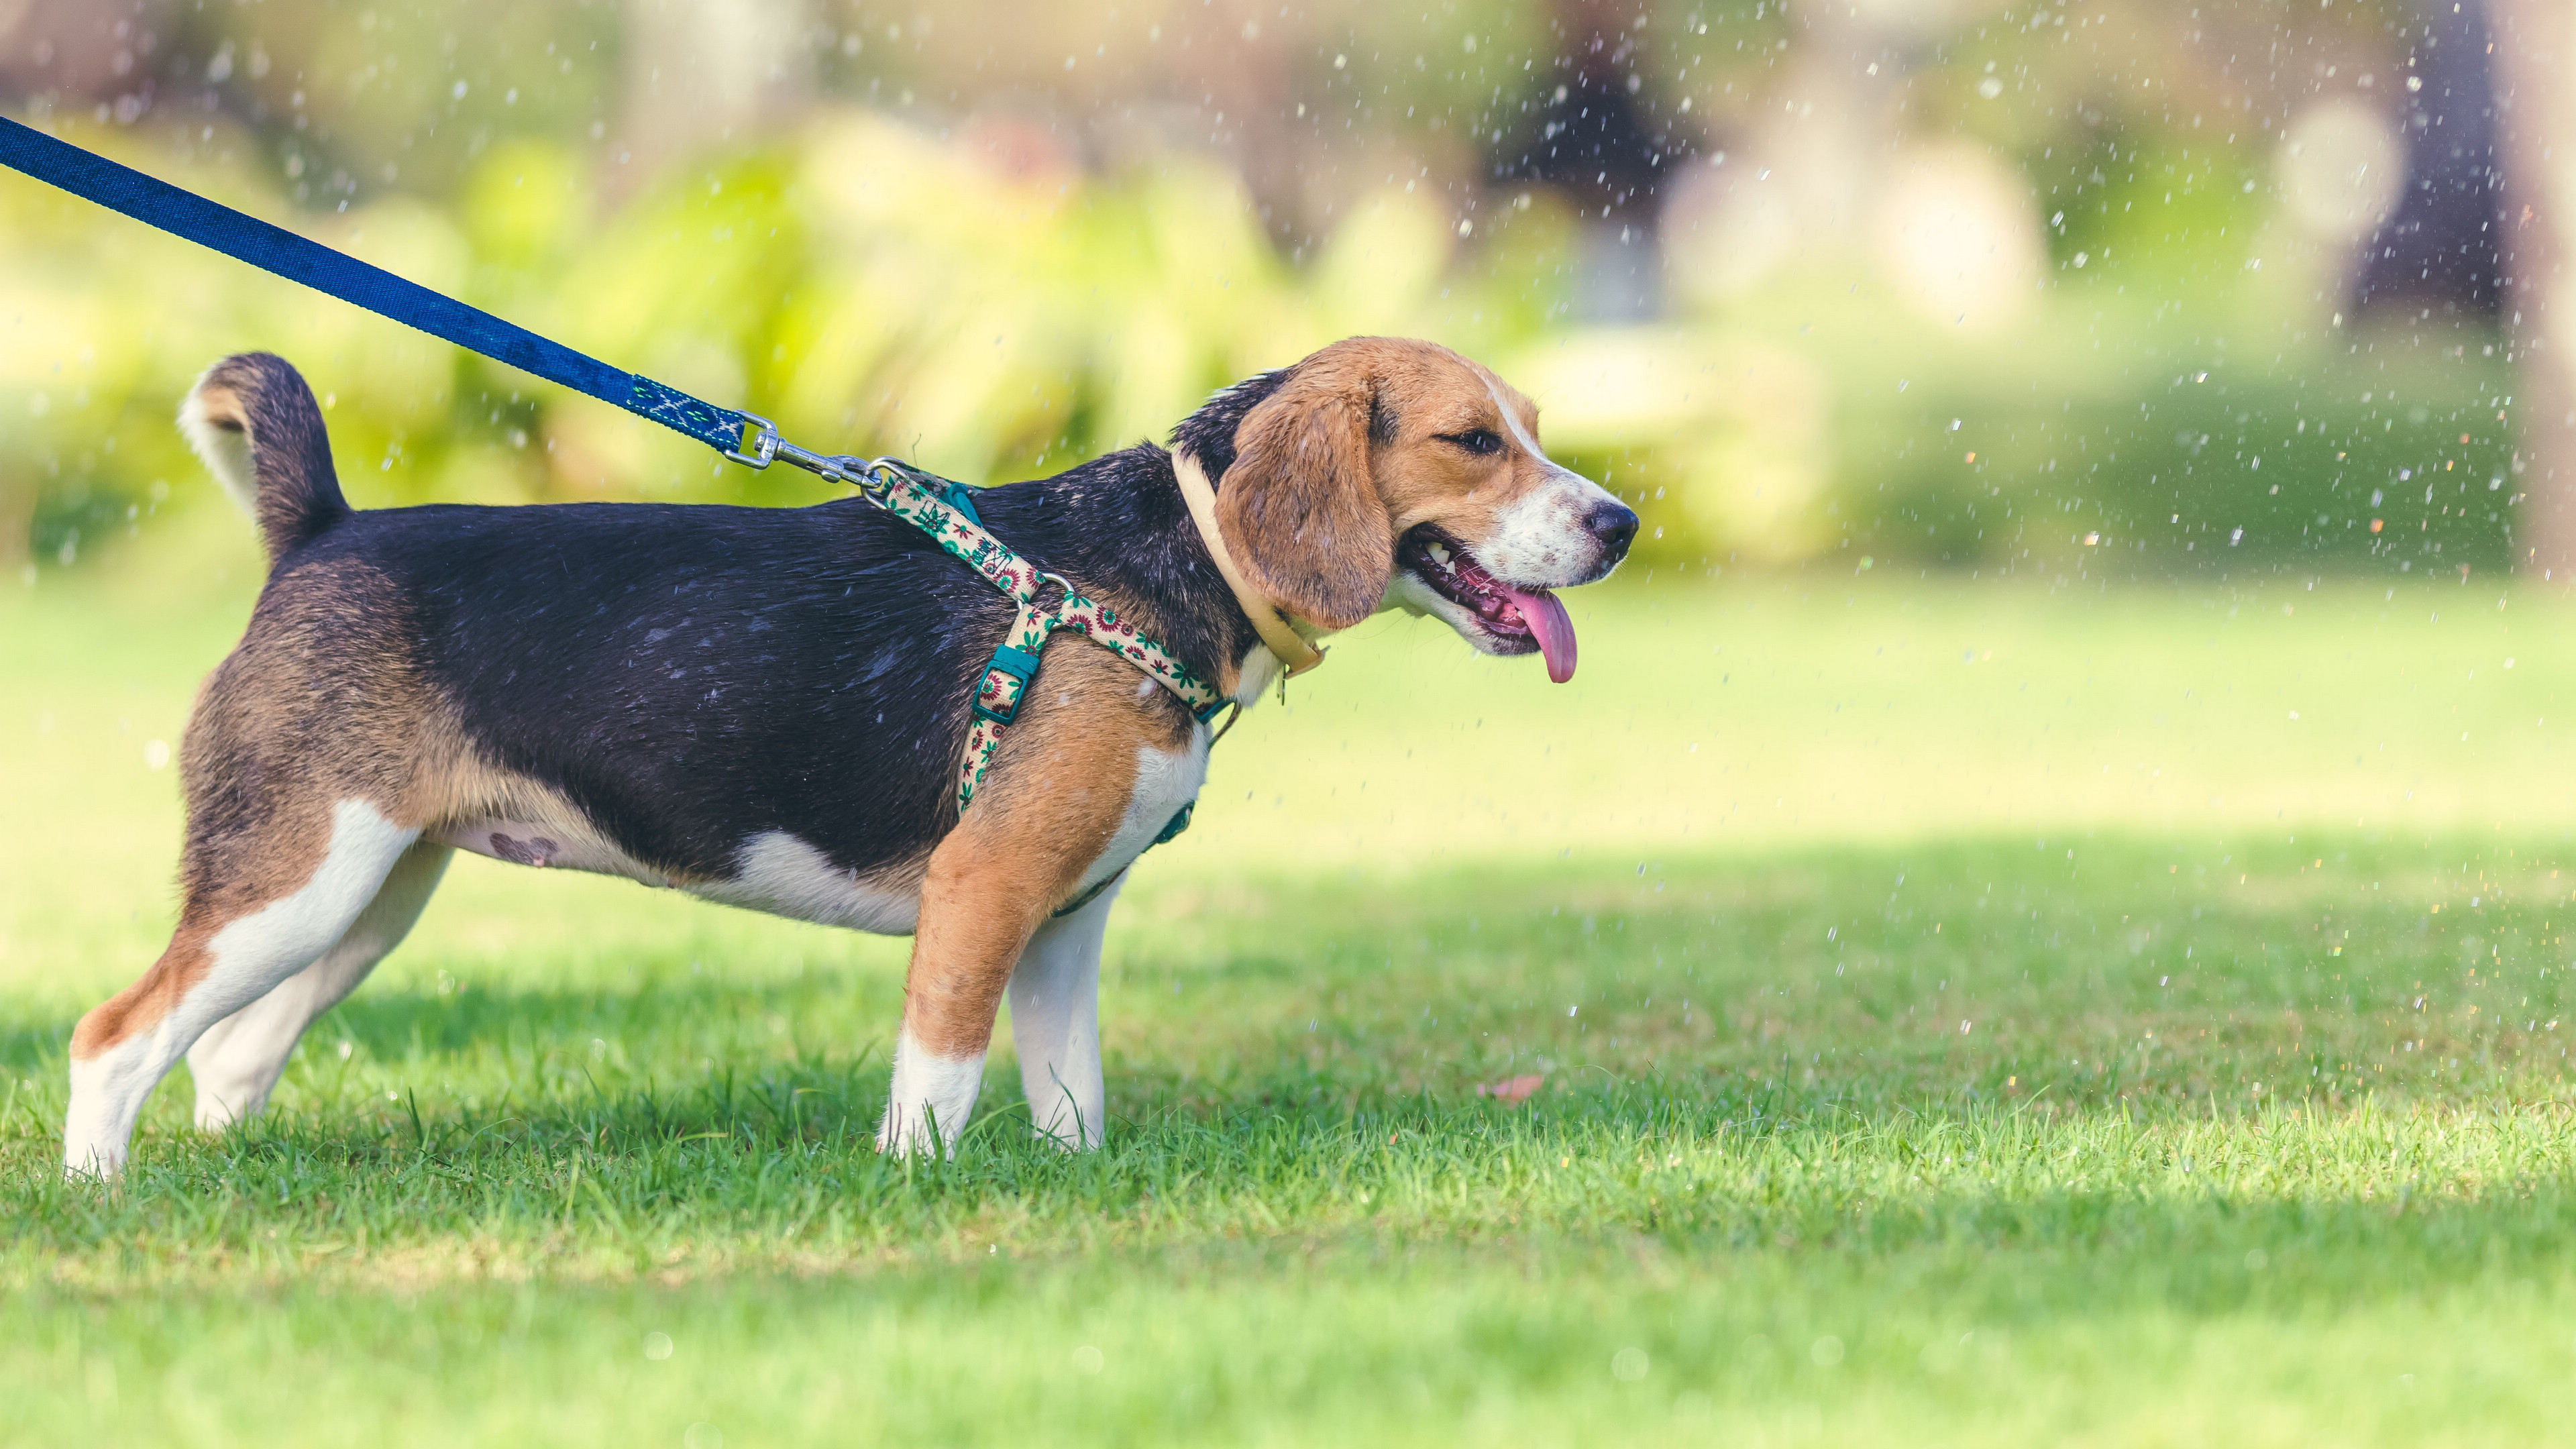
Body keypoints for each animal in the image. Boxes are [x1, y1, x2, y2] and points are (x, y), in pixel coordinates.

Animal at [60, 332, 1638, 1165]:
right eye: (1472, 442)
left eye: (1533, 431)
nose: (1623, 524)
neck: (1156, 561)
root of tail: (321, 530)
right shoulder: (983, 892)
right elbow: (937, 1082)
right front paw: (917, 1196)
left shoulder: (1065, 922)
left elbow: (1069, 1096)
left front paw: (1076, 1191)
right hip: (298, 883)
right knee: (115, 1038)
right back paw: (104, 1199)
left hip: (362, 901)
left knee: (224, 1056)